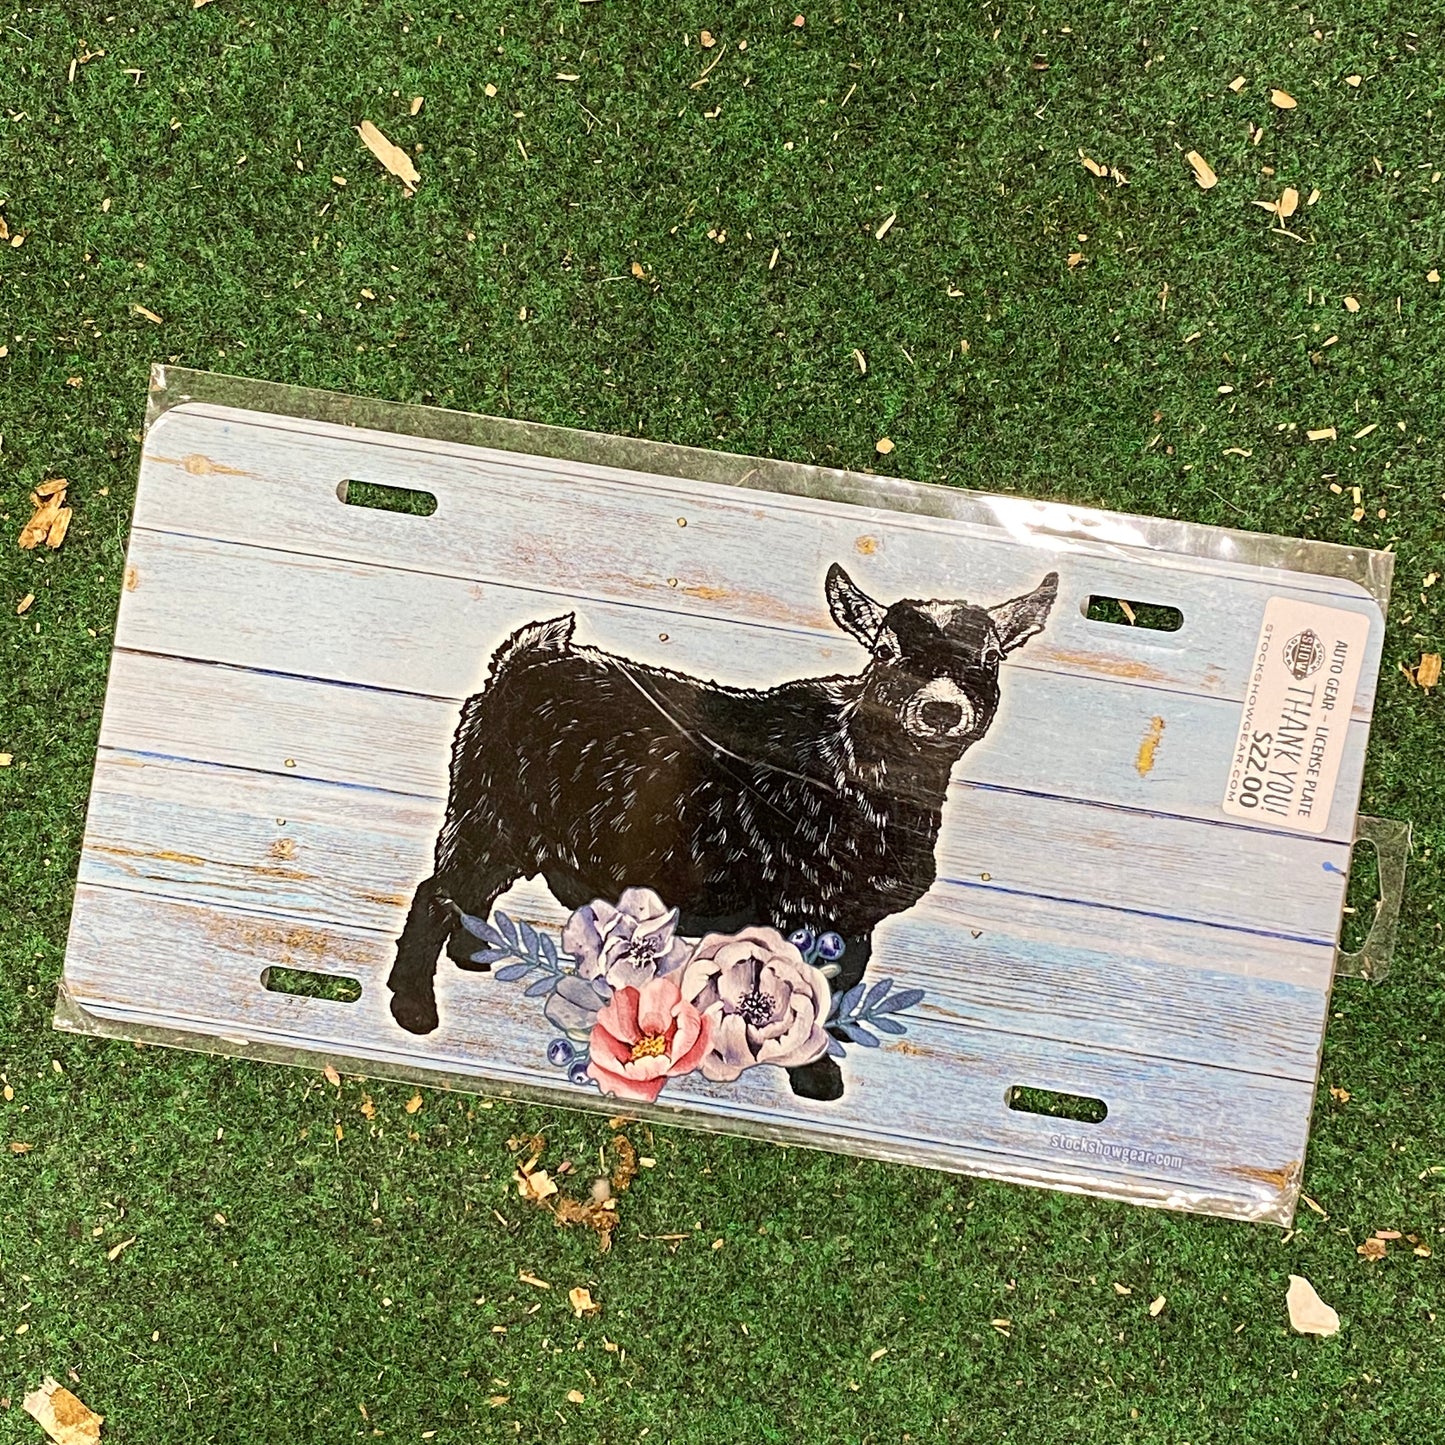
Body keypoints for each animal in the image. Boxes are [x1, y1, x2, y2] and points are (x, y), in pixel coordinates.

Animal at [388, 563, 1058, 1100]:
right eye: (887, 650)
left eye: (990, 658)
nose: (942, 710)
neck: (853, 770)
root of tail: (524, 659)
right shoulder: (806, 909)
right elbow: (810, 990)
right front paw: (816, 1080)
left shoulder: (854, 922)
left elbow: (839, 988)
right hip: (488, 814)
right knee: (437, 892)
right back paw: (412, 1007)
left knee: (472, 895)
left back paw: (476, 954)